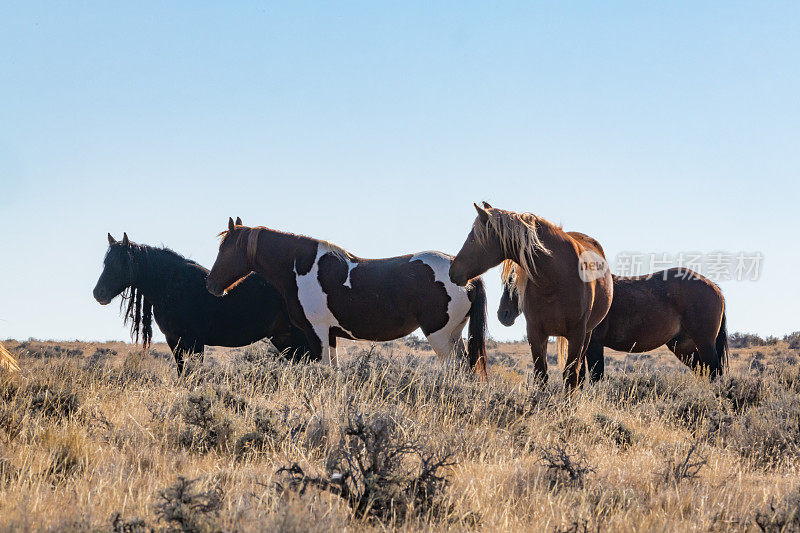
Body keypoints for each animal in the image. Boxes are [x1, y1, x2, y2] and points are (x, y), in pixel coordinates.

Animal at [94, 231, 316, 372]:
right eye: (105, 263)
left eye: (120, 264)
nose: (98, 293)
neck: (173, 287)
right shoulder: (174, 341)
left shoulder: (195, 342)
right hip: (285, 339)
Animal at [205, 216, 488, 374]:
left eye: (225, 249)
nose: (211, 285)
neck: (300, 267)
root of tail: (467, 277)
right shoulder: (330, 334)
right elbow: (334, 370)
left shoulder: (317, 332)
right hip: (453, 335)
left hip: (439, 335)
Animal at [450, 202, 612, 388]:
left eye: (473, 238)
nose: (452, 271)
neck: (556, 279)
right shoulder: (535, 333)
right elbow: (541, 375)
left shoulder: (577, 335)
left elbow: (570, 376)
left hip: (587, 335)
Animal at [500, 260, 732, 378]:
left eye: (513, 280)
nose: (503, 314)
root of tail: (714, 287)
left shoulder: (593, 344)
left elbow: (595, 376)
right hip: (683, 347)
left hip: (703, 343)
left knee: (714, 372)